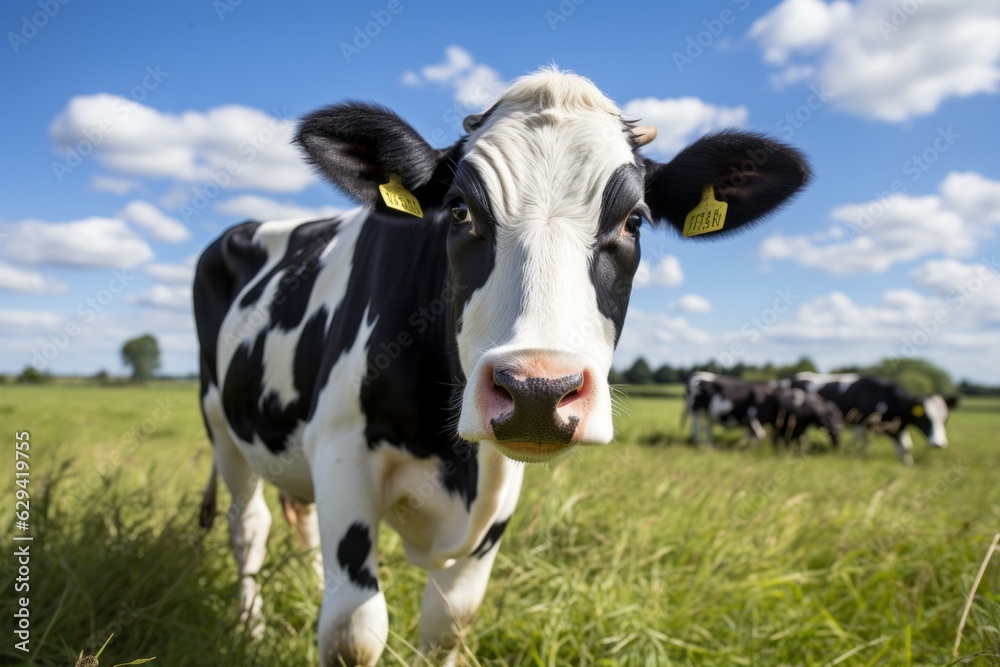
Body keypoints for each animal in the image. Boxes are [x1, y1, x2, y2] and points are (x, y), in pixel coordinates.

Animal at [191, 68, 808, 664]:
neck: (454, 462)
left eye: (634, 221)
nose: (538, 390)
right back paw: (250, 626)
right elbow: (353, 633)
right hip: (219, 422)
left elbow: (448, 625)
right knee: (249, 527)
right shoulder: (343, 451)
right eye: (460, 211)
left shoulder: (499, 492)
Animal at [788, 370, 952, 464]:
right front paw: (860, 458)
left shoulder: (895, 426)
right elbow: (861, 444)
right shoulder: (860, 423)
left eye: (944, 418)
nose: (939, 443)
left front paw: (907, 465)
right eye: (925, 418)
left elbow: (906, 447)